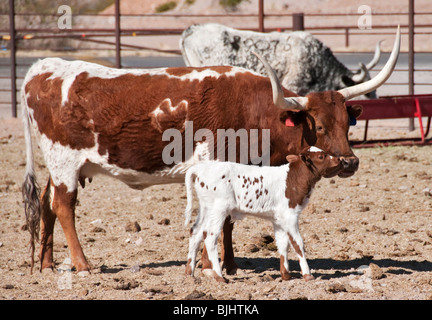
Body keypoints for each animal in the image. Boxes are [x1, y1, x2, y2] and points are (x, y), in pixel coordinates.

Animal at [20, 26, 398, 276]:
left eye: (347, 122)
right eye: (318, 125)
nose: (349, 162)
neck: (254, 110)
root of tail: (41, 69)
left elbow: (229, 221)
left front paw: (229, 264)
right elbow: (217, 220)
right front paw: (209, 264)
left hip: (61, 165)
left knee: (47, 204)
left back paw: (47, 264)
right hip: (64, 161)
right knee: (64, 206)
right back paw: (82, 265)